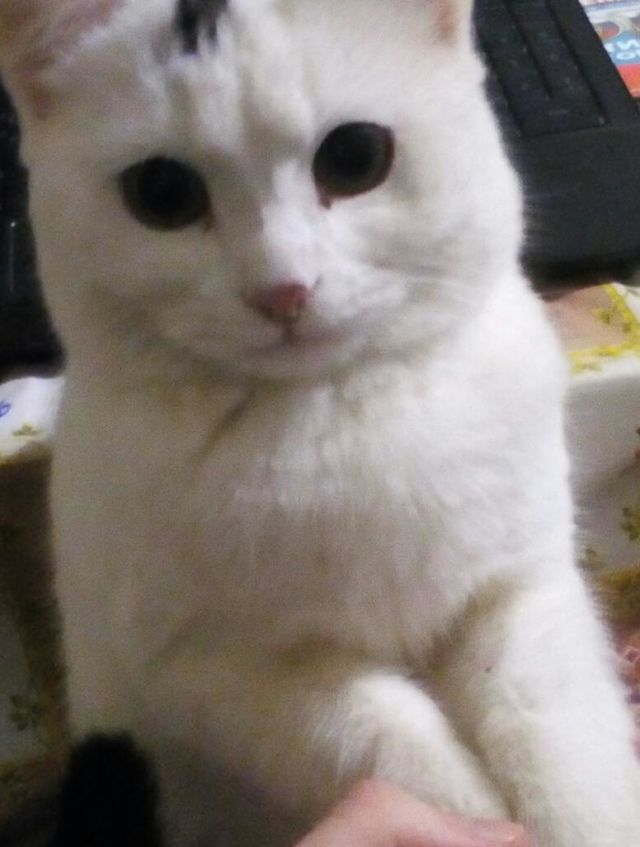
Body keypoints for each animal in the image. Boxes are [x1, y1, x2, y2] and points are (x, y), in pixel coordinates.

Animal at [1, 0, 639, 844]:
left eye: (355, 156)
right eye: (162, 193)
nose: (284, 288)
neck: (338, 411)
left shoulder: (521, 583)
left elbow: (553, 726)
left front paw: (577, 813)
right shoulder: (215, 675)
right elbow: (388, 739)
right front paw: (472, 821)